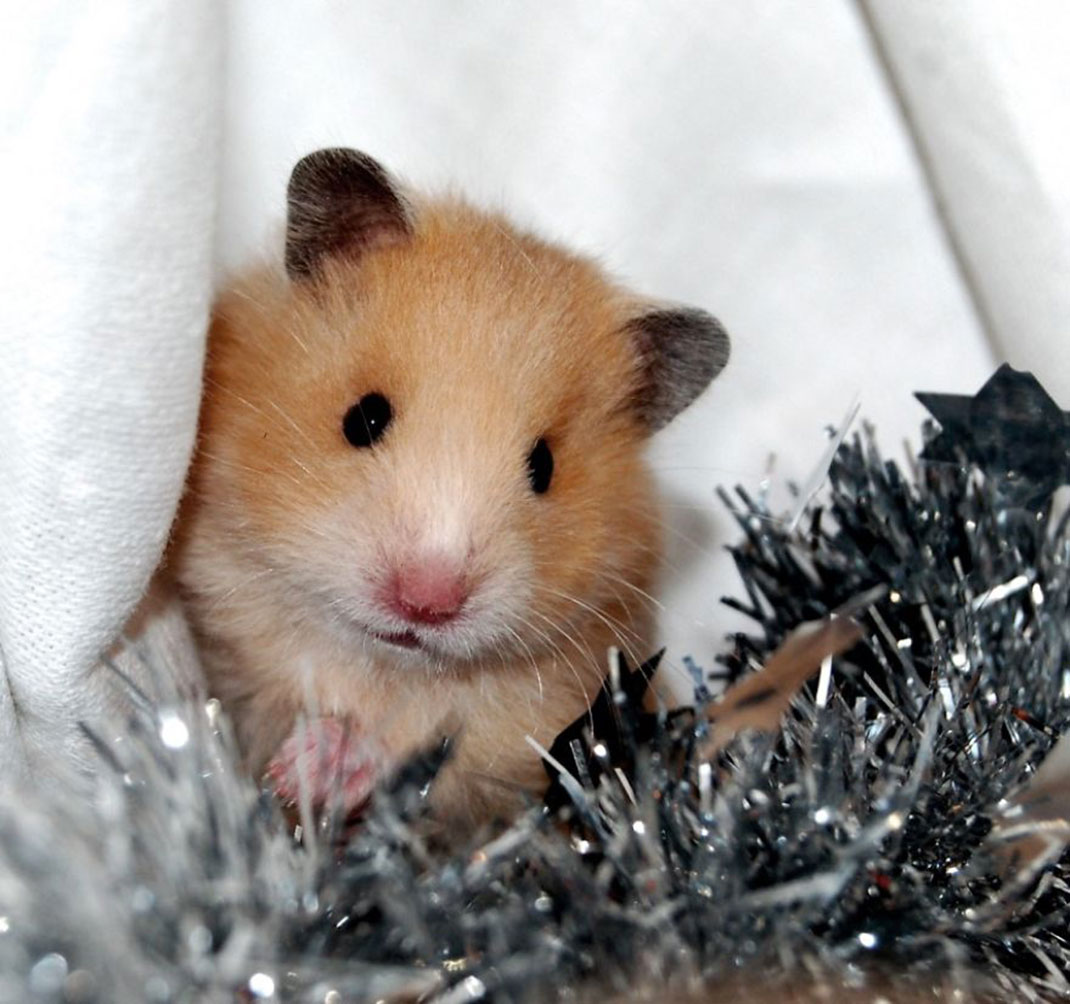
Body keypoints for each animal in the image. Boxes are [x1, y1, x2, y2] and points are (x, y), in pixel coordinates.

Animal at [171, 148, 729, 826]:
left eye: (543, 468)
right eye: (363, 418)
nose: (426, 603)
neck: (384, 665)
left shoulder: (551, 706)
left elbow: (441, 746)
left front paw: (320, 770)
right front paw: (296, 775)